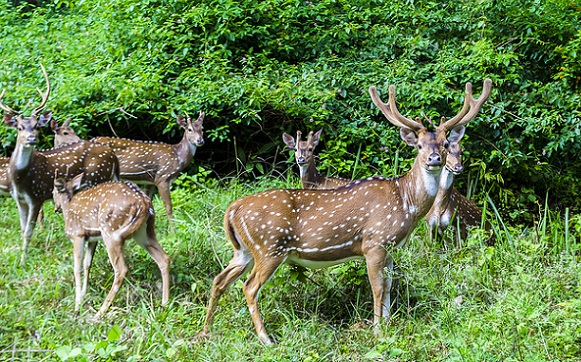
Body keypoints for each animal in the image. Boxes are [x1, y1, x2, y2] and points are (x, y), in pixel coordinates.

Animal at [0, 64, 119, 264]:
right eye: (20, 127)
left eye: (36, 126)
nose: (32, 138)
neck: (19, 179)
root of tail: (113, 156)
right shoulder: (19, 199)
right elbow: (22, 229)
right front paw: (21, 257)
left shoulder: (37, 196)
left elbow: (28, 232)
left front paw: (23, 261)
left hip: (97, 177)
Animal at [51, 173, 170, 316]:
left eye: (52, 193)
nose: (55, 208)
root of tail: (144, 203)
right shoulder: (92, 239)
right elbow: (87, 264)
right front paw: (84, 294)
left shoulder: (77, 234)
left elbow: (77, 268)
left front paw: (77, 304)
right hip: (144, 233)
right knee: (164, 258)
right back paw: (165, 304)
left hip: (111, 231)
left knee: (121, 269)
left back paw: (100, 312)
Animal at [199, 78, 490, 344]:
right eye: (418, 145)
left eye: (444, 144)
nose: (435, 159)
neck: (405, 203)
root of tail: (232, 209)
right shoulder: (374, 242)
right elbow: (378, 287)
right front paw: (377, 332)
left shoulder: (392, 248)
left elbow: (389, 286)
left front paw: (387, 327)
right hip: (270, 246)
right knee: (249, 287)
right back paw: (266, 338)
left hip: (244, 250)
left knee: (219, 279)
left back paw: (206, 332)